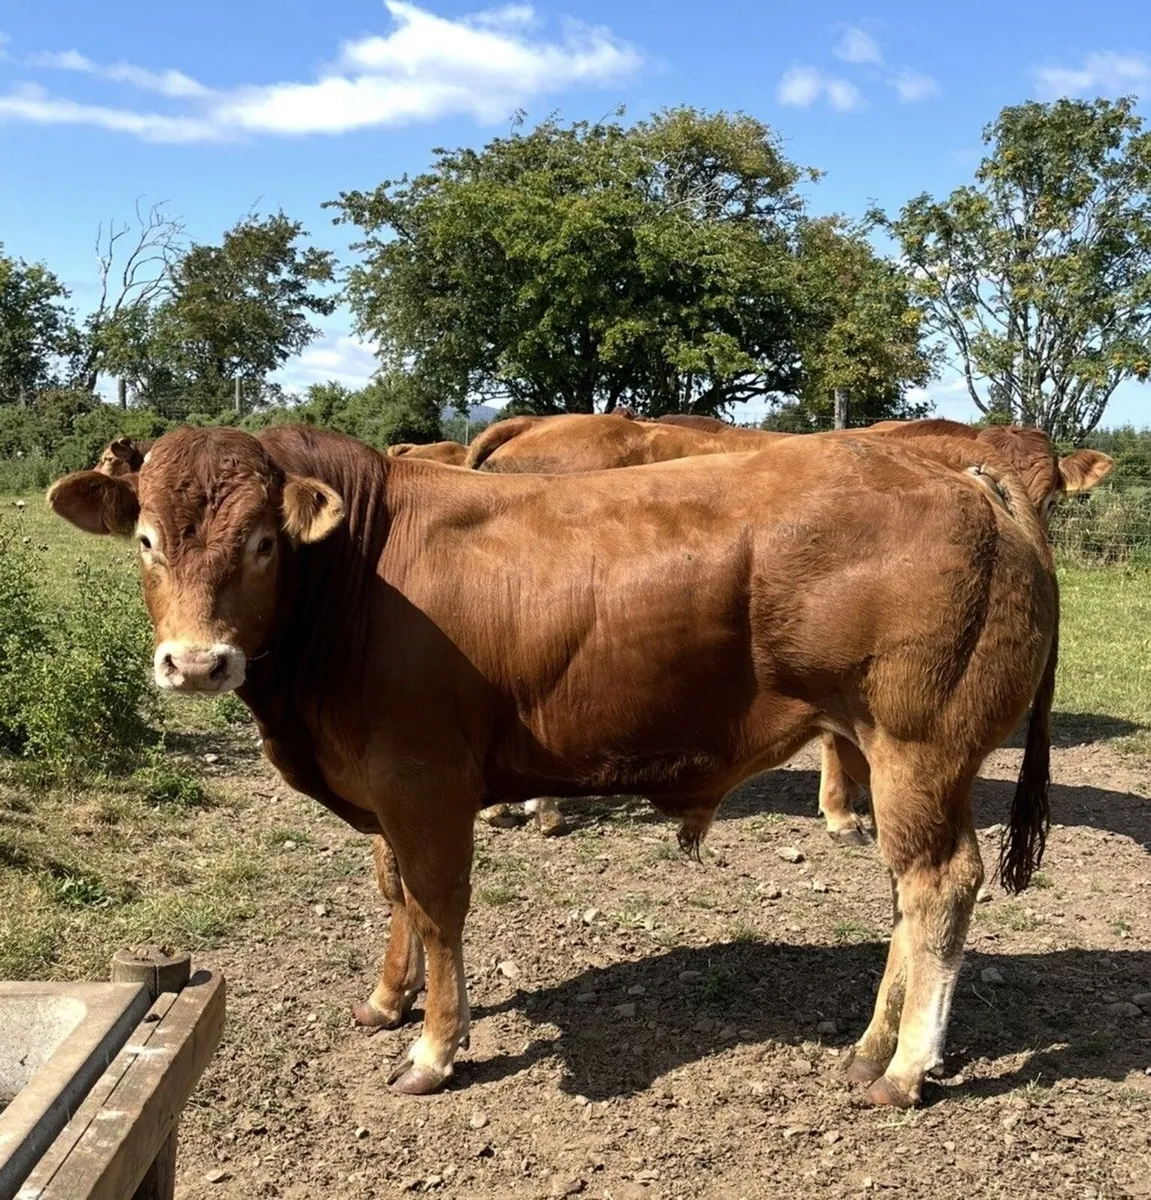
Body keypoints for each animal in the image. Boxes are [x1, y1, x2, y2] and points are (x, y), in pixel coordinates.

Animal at [48, 422, 1058, 1108]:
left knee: (936, 886)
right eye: (147, 540)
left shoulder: (423, 781)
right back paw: (869, 1046)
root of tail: (965, 477)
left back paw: (905, 1067)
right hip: (908, 764)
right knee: (904, 893)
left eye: (262, 542)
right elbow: (393, 890)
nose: (196, 663)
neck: (359, 578)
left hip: (919, 746)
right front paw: (386, 999)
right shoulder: (379, 785)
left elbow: (438, 905)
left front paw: (433, 1048)